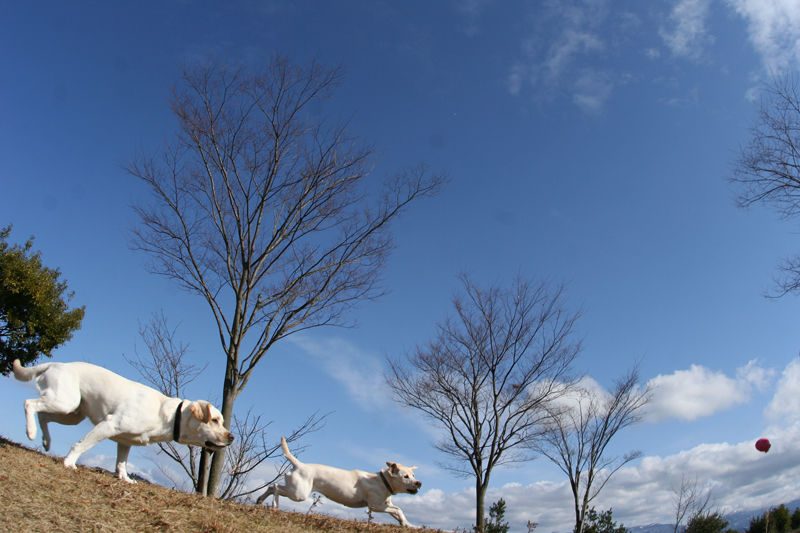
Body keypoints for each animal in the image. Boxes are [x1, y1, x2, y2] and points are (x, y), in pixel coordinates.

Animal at [12, 358, 233, 482]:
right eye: (215, 420)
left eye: (221, 422)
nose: (231, 437)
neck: (170, 416)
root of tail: (56, 363)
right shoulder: (110, 424)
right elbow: (81, 445)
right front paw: (69, 463)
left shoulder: (125, 441)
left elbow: (121, 463)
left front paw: (125, 479)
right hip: (64, 402)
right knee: (29, 404)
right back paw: (31, 432)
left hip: (72, 414)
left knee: (42, 415)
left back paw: (45, 440)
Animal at [258, 434, 422, 524]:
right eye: (406, 476)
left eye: (413, 475)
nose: (419, 483)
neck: (383, 481)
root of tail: (299, 464)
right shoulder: (375, 506)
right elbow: (398, 510)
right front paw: (405, 523)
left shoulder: (385, 505)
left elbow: (398, 512)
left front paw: (408, 525)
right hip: (299, 494)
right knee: (276, 487)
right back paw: (274, 506)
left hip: (296, 491)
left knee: (271, 487)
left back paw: (259, 500)